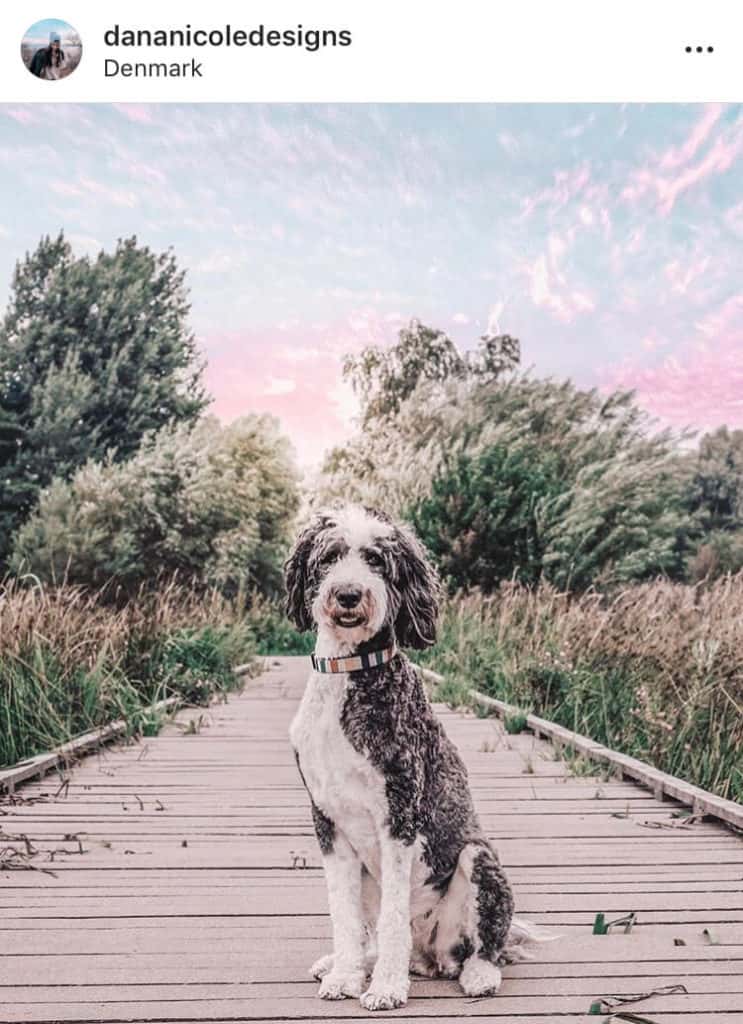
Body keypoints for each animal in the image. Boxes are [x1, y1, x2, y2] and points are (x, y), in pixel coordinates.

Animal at [284, 503, 536, 1007]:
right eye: (331, 556)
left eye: (377, 560)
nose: (348, 594)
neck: (348, 672)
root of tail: (428, 956)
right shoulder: (327, 819)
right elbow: (343, 915)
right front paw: (344, 976)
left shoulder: (399, 815)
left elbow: (394, 916)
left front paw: (385, 987)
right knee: (373, 935)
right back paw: (346, 963)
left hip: (480, 861)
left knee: (485, 944)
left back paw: (477, 974)